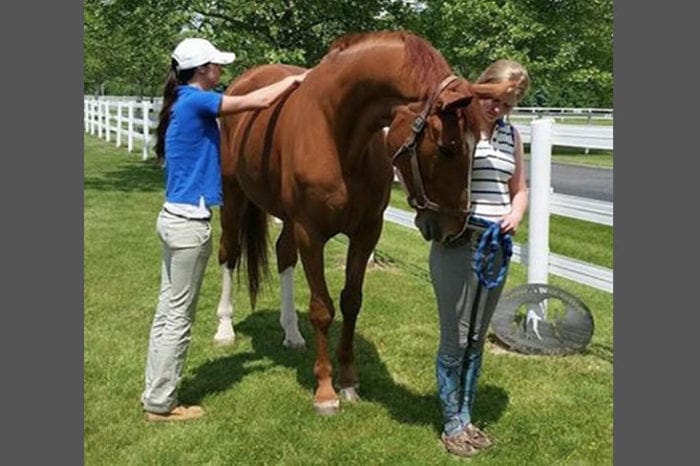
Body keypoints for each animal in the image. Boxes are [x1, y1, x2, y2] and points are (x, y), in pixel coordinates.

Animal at [214, 30, 519, 414]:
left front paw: (348, 381)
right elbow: (322, 309)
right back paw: (224, 329)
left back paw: (292, 334)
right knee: (229, 253)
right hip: (233, 194)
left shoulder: (366, 232)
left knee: (283, 256)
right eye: (447, 148)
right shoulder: (310, 233)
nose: (454, 229)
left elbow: (351, 302)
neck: (336, 131)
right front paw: (325, 391)